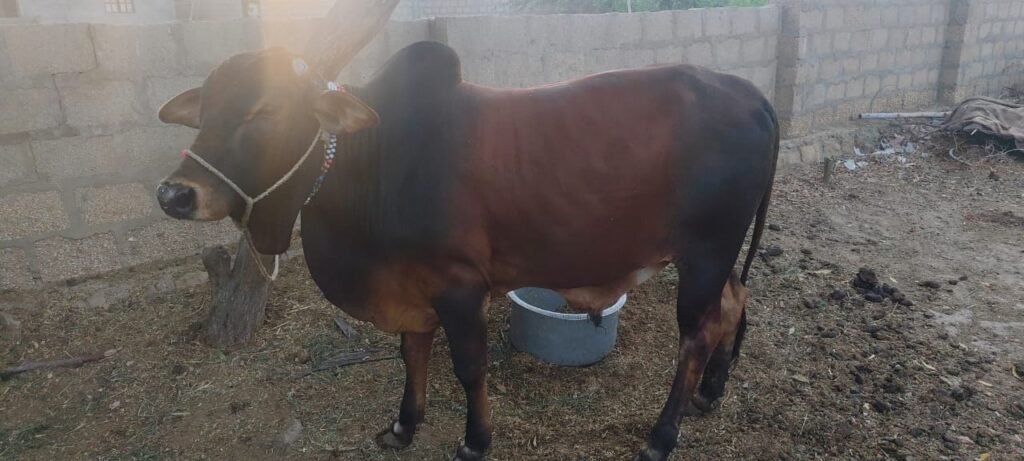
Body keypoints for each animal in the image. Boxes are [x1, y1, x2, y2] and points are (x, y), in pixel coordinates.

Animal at [154, 38, 777, 460]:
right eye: (204, 111)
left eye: (265, 111)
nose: (174, 194)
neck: (374, 160)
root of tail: (748, 92)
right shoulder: (409, 288)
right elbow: (413, 354)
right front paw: (403, 427)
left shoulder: (459, 286)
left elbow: (468, 366)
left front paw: (475, 440)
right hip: (715, 258)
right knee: (735, 303)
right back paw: (712, 392)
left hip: (705, 253)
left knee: (695, 336)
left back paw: (662, 435)